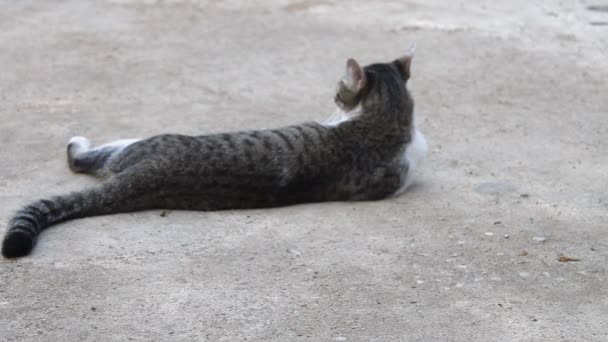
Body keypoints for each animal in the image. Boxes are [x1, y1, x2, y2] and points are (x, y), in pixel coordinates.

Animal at [1, 52, 428, 258]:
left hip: (135, 144)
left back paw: (77, 142)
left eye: (339, 91)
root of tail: (144, 176)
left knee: (82, 159)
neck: (388, 121)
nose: (333, 99)